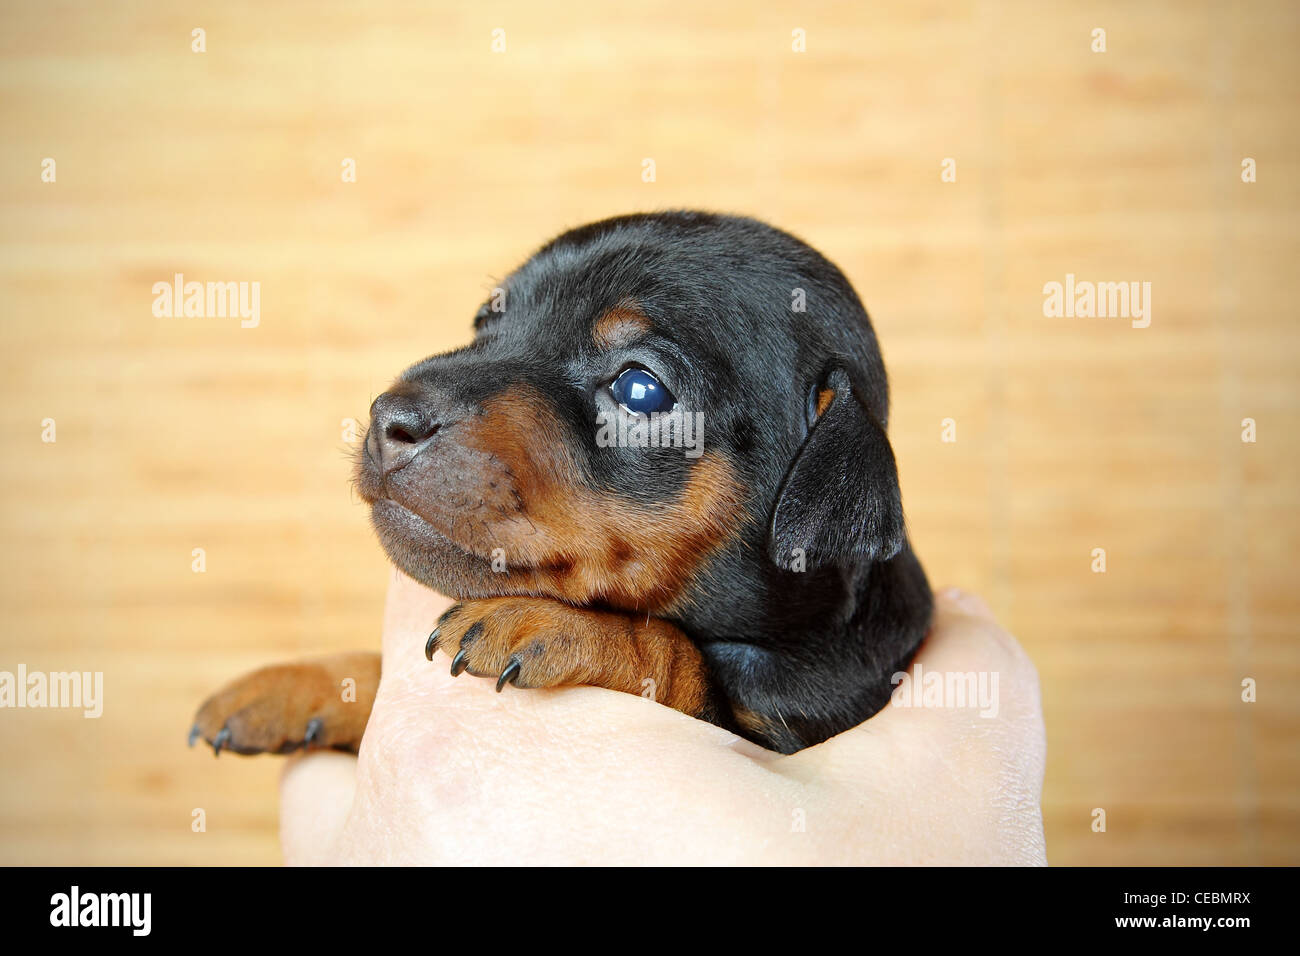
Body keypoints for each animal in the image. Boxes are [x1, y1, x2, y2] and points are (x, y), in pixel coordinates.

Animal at [189, 213, 925, 759]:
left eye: (640, 389)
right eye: (485, 323)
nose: (386, 418)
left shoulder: (806, 716)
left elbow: (685, 662)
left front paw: (557, 624)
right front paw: (304, 683)